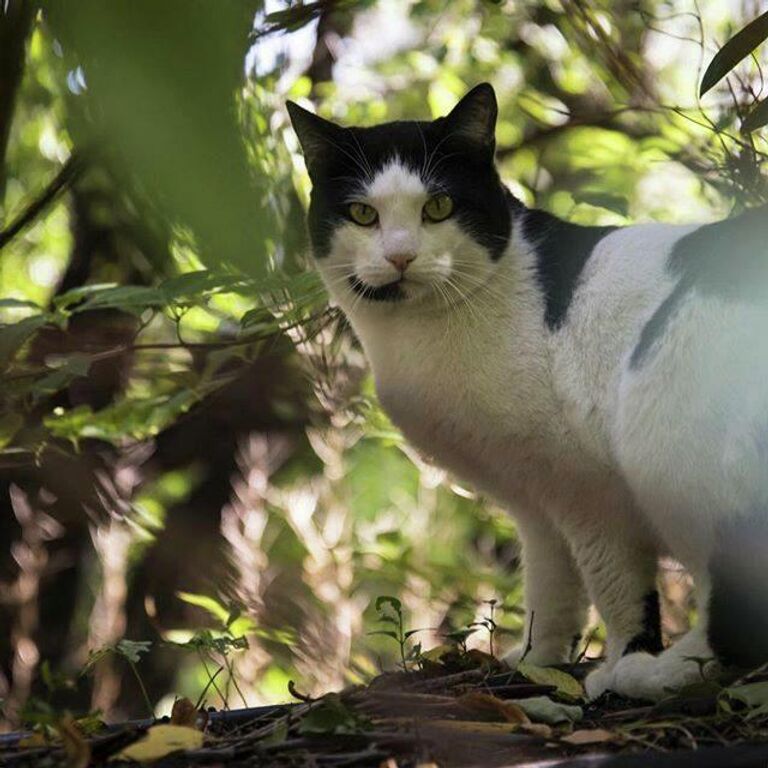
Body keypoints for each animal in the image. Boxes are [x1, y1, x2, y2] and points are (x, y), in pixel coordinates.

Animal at [288, 84, 768, 704]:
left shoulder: (586, 488)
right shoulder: (534, 493)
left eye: (438, 207)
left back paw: (655, 674)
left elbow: (613, 585)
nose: (399, 256)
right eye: (362, 214)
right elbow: (550, 585)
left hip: (660, 420)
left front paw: (617, 659)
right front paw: (537, 662)